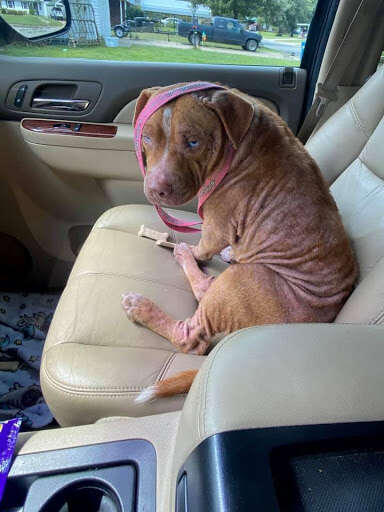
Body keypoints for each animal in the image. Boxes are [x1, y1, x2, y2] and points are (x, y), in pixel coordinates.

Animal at [121, 82, 358, 402]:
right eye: (146, 138)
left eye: (193, 142)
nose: (157, 190)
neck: (238, 142)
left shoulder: (217, 224)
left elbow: (203, 246)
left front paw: (193, 250)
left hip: (241, 281)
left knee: (192, 333)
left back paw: (149, 298)